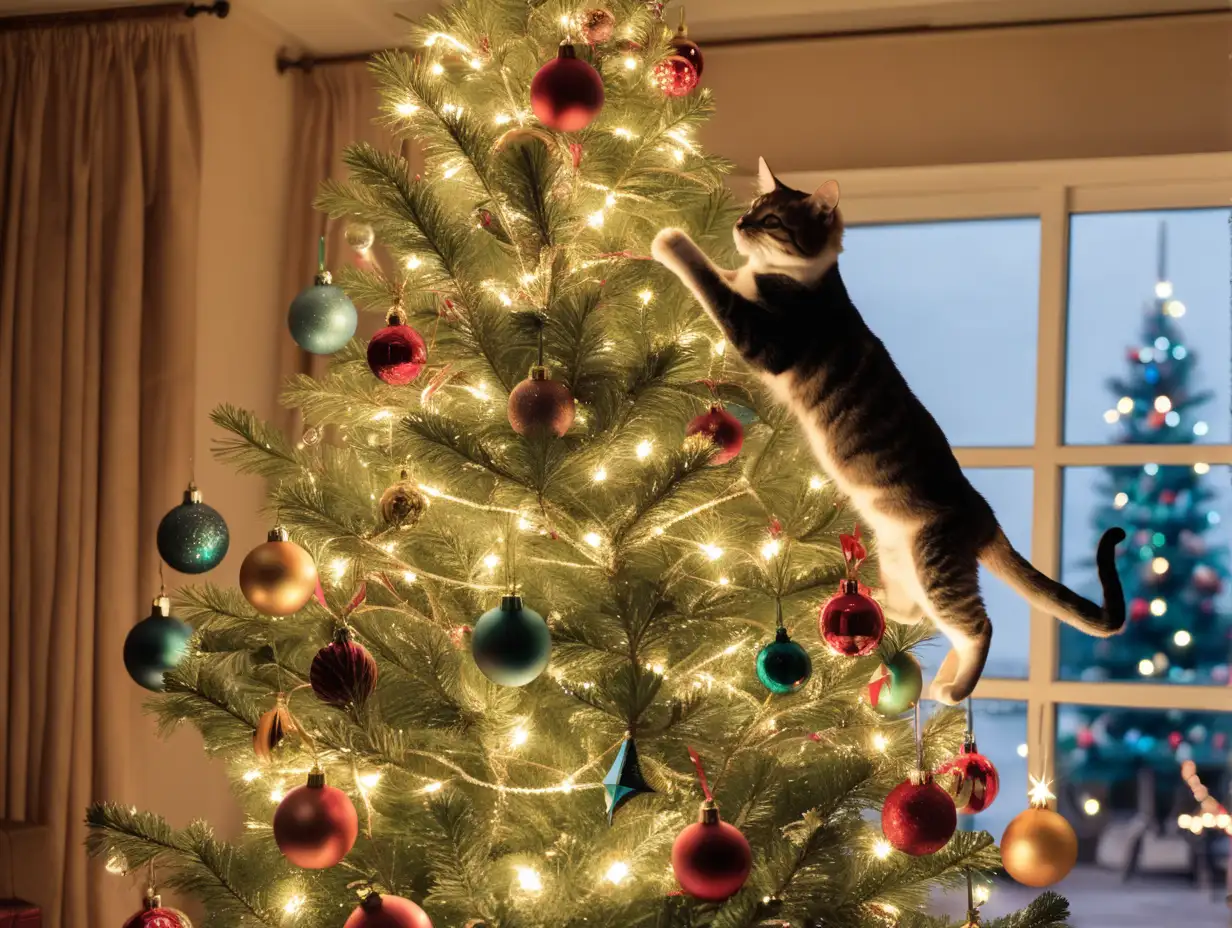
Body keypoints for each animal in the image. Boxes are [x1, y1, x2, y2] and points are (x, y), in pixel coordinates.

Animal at [655, 157, 1128, 700]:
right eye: (753, 206)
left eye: (771, 220)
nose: (740, 223)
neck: (794, 276)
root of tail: (983, 514)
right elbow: (728, 274)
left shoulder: (765, 337)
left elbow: (713, 281)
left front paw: (671, 241)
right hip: (901, 557)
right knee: (914, 612)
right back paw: (879, 606)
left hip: (936, 563)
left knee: (977, 624)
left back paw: (954, 688)